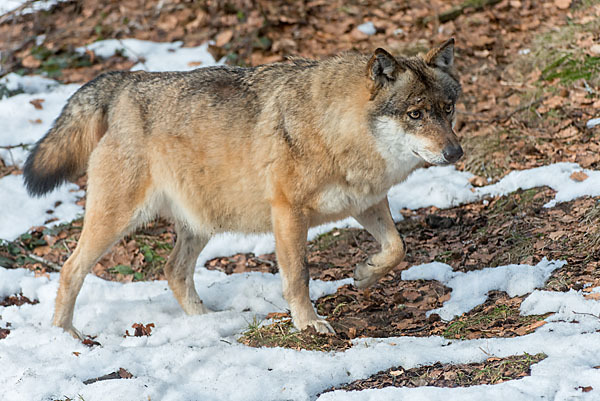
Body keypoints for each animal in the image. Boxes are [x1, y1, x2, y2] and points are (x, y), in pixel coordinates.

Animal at [23, 38, 462, 338]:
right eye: (415, 114)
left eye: (448, 110)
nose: (456, 152)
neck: (335, 129)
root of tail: (127, 82)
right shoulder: (288, 213)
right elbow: (299, 277)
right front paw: (309, 324)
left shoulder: (368, 202)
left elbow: (396, 248)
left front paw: (365, 274)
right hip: (117, 221)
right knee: (70, 269)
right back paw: (65, 336)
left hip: (199, 223)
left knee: (173, 271)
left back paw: (207, 324)